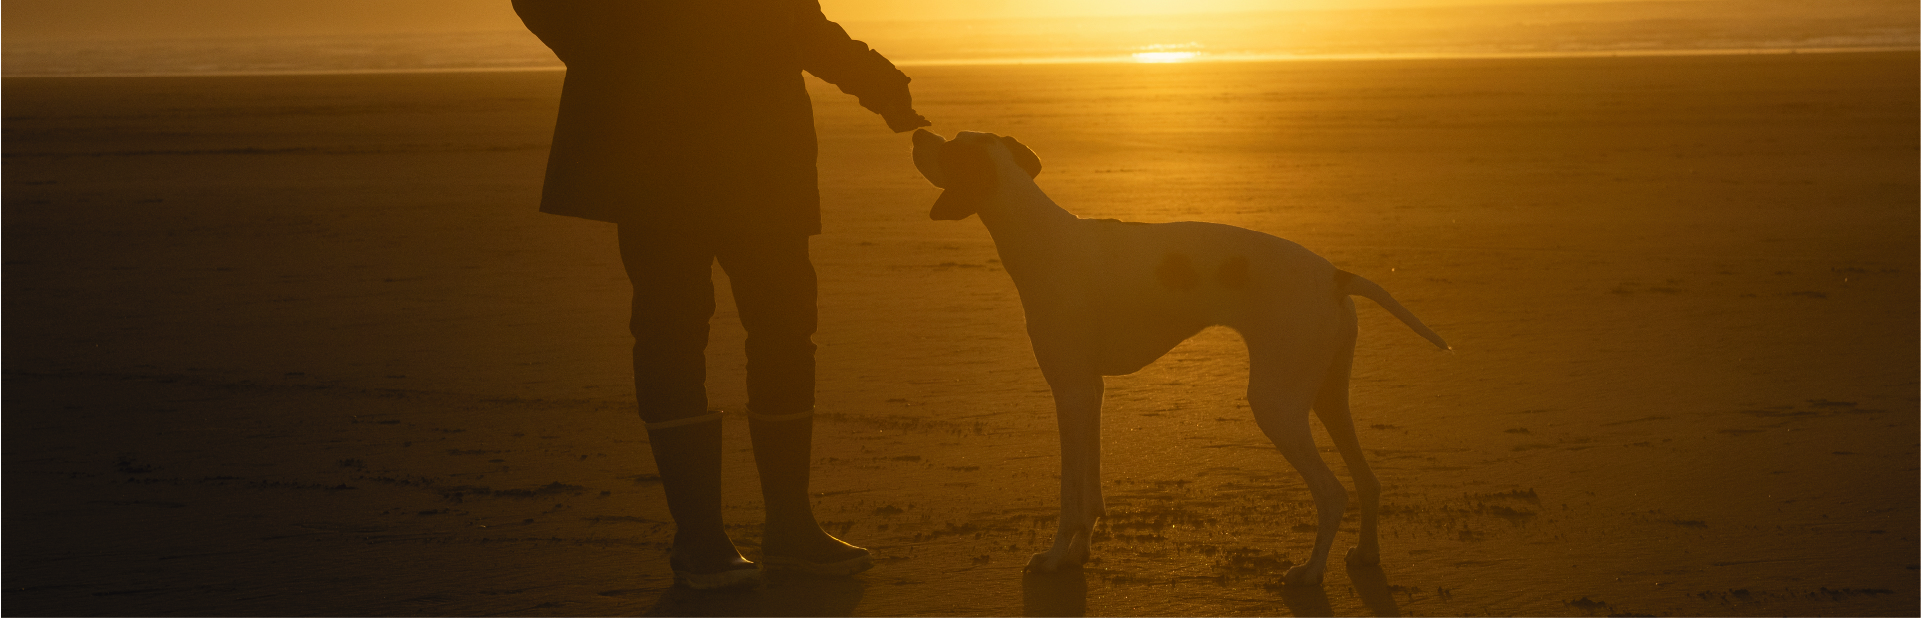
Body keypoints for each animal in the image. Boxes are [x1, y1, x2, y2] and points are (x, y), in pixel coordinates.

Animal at [910, 129, 1444, 583]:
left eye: (951, 146)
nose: (916, 134)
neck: (1040, 234)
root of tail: (1335, 275)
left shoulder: (1070, 391)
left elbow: (1070, 495)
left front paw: (1055, 556)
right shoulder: (1090, 393)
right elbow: (1090, 491)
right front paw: (1080, 551)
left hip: (1276, 404)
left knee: (1333, 493)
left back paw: (1310, 572)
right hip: (1326, 396)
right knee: (1369, 482)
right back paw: (1367, 554)